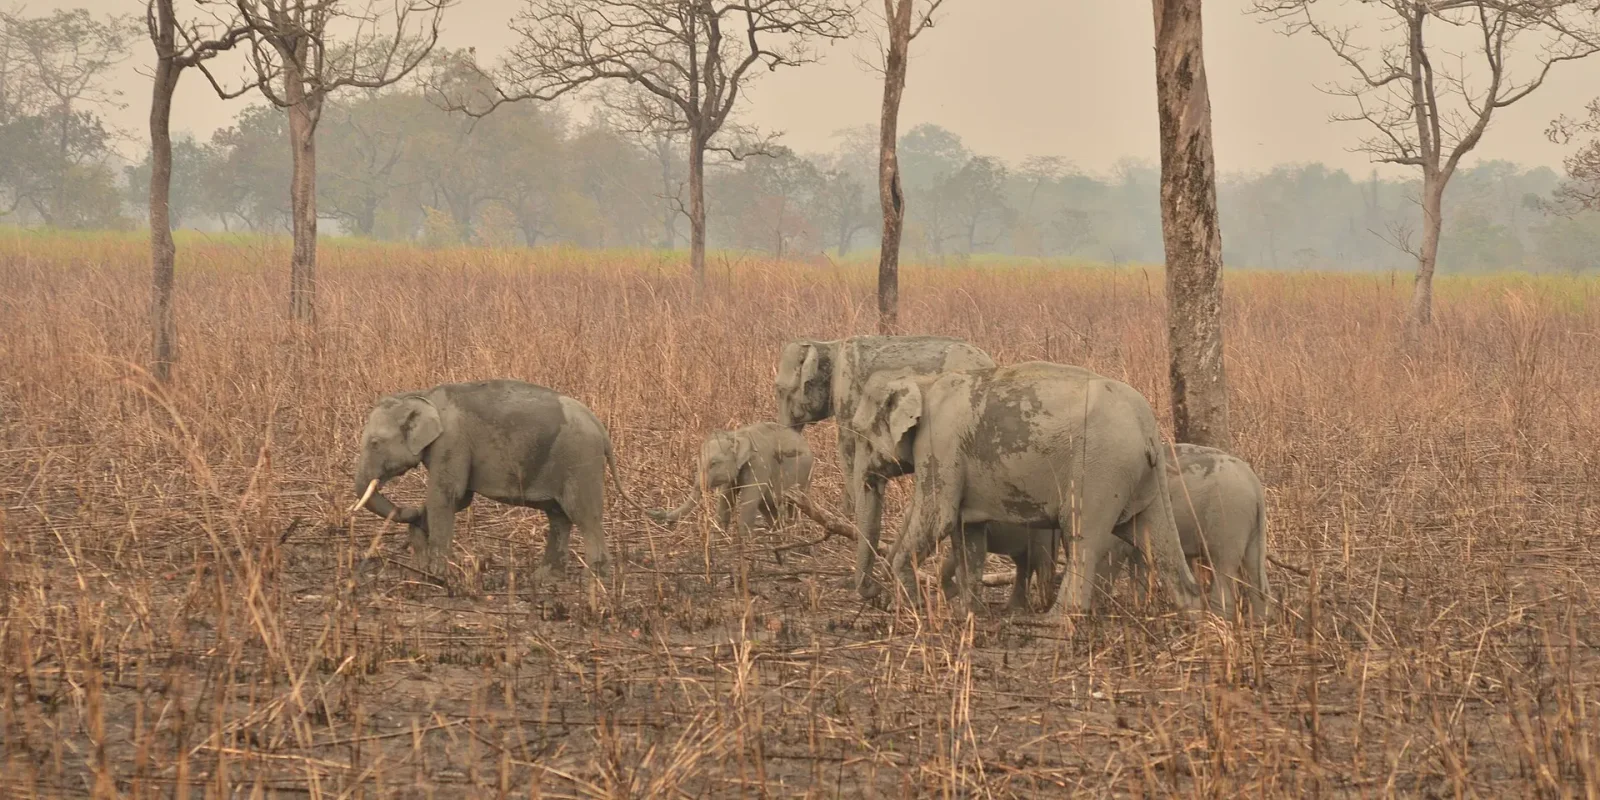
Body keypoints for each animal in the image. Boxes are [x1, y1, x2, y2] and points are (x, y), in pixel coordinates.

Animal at [348, 379, 647, 582]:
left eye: (374, 443)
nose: (409, 510)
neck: (423, 395)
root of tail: (601, 428)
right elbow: (460, 499)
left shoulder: (452, 442)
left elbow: (447, 495)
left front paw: (438, 575)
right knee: (559, 517)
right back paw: (544, 578)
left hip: (580, 460)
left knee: (583, 515)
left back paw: (594, 579)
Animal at [648, 422, 815, 535]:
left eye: (714, 463)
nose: (653, 512)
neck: (738, 435)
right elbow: (725, 499)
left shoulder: (760, 464)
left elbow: (748, 501)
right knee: (767, 505)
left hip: (805, 476)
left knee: (793, 506)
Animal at [848, 361, 1205, 616]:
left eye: (859, 433)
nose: (871, 593)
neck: (922, 380)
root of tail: (1148, 427)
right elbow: (968, 534)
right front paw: (967, 614)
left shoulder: (941, 441)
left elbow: (940, 518)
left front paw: (909, 609)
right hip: (1142, 478)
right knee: (1152, 535)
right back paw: (1195, 617)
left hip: (1101, 468)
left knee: (1083, 537)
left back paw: (1057, 620)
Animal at [1099, 443, 1270, 619]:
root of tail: (1255, 484)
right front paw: (1140, 610)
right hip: (1248, 522)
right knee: (1254, 570)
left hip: (1229, 515)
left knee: (1222, 567)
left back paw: (1218, 619)